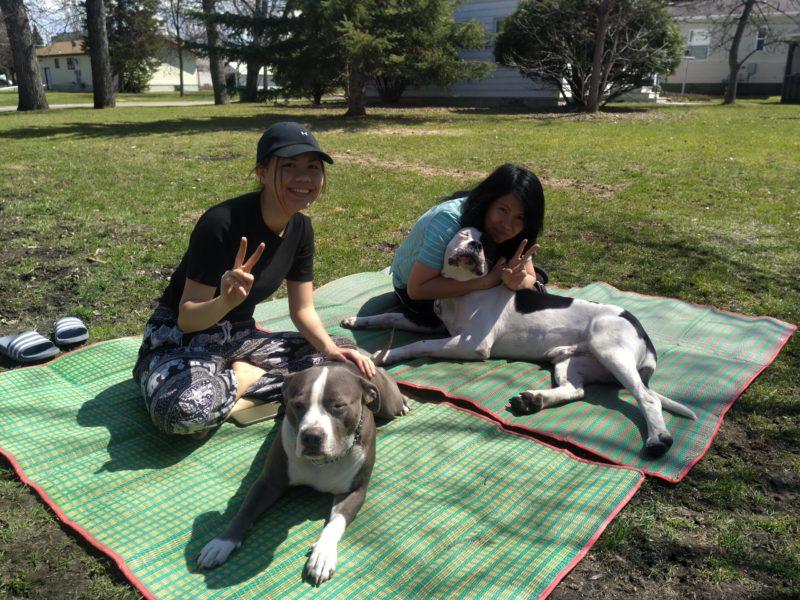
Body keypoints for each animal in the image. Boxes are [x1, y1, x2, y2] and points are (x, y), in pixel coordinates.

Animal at [198, 360, 410, 584]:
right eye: (298, 405)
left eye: (338, 406)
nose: (312, 436)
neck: (322, 462)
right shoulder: (269, 482)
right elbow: (245, 511)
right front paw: (222, 542)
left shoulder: (355, 492)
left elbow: (335, 523)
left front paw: (323, 554)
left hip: (387, 404)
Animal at [340, 227, 696, 458]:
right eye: (465, 235)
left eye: (490, 246)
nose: (476, 246)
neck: (463, 290)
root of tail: (644, 335)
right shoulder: (435, 323)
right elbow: (392, 316)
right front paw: (357, 321)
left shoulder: (470, 343)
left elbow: (418, 344)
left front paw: (385, 354)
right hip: (570, 360)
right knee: (576, 390)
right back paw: (534, 401)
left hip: (611, 351)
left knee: (648, 398)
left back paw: (658, 440)